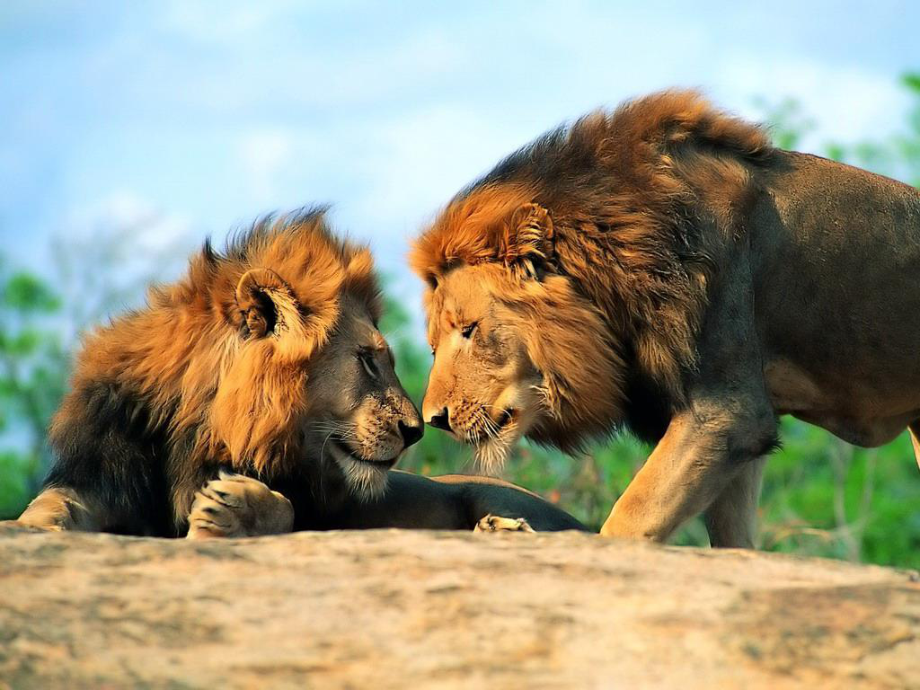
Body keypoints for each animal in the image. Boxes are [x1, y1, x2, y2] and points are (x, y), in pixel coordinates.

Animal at [18, 207, 584, 536]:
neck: (197, 434)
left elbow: (284, 510)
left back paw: (502, 530)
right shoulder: (102, 473)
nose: (416, 431)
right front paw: (35, 526)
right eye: (368, 360)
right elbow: (53, 505)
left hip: (498, 492)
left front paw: (232, 513)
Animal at [412, 87, 920, 548]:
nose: (435, 419)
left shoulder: (728, 412)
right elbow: (731, 539)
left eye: (470, 330)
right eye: (434, 345)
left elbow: (630, 517)